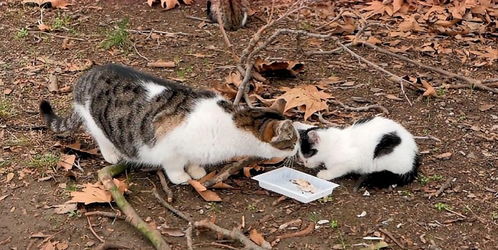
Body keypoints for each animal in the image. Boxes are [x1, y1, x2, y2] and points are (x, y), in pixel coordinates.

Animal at [40, 63, 298, 185]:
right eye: (293, 140)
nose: (299, 147)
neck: (230, 125)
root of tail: (85, 77)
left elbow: (194, 160)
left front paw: (196, 170)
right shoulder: (169, 145)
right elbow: (173, 165)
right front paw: (181, 177)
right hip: (96, 122)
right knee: (101, 138)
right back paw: (112, 154)